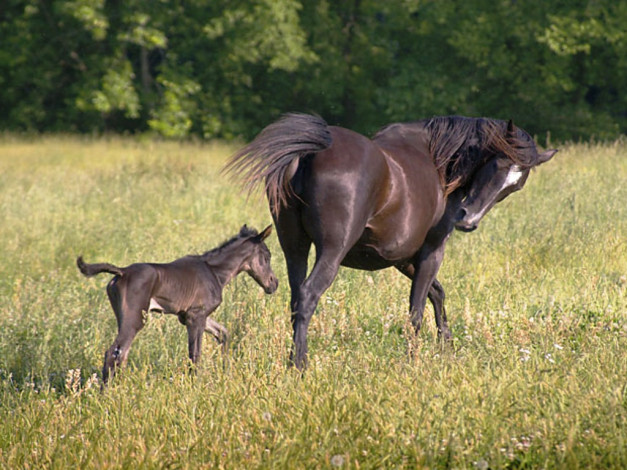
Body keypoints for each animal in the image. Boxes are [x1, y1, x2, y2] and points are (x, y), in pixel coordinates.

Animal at [76, 226, 278, 384]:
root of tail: (122, 272)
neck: (215, 272)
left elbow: (223, 334)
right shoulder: (196, 317)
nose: (273, 283)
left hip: (124, 318)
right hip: (135, 319)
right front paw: (195, 386)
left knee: (122, 354)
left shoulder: (189, 316)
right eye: (267, 255)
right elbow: (195, 354)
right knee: (114, 352)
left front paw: (225, 373)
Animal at [227, 114, 560, 370]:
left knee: (296, 299)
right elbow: (416, 311)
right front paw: (414, 361)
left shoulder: (400, 257)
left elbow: (436, 294)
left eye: (515, 185)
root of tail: (311, 152)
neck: (435, 160)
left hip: (294, 248)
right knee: (308, 296)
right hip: (331, 253)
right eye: (496, 165)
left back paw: (293, 359)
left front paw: (446, 346)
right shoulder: (430, 251)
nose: (468, 220)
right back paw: (300, 365)